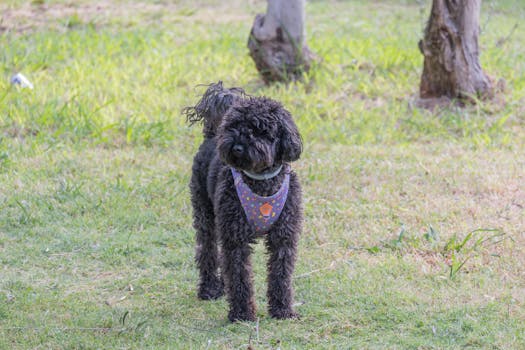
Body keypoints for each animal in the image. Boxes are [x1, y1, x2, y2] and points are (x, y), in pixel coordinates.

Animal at [183, 82, 302, 322]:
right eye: (234, 126)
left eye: (259, 129)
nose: (237, 146)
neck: (261, 180)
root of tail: (212, 134)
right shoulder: (235, 236)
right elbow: (239, 276)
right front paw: (242, 314)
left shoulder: (283, 236)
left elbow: (281, 274)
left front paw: (283, 310)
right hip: (205, 214)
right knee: (208, 250)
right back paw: (210, 288)